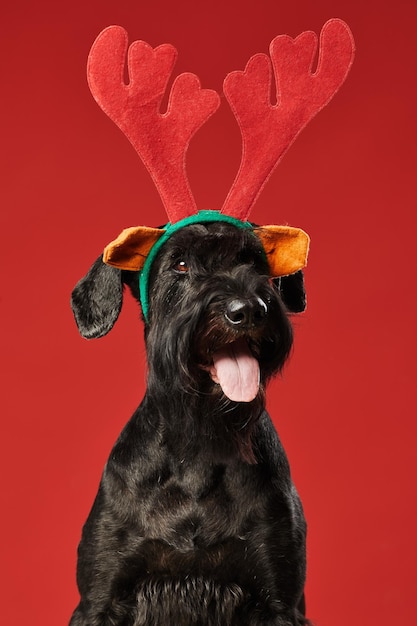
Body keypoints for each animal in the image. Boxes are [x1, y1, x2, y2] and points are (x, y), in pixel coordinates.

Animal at [70, 221, 308, 624]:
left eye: (252, 260)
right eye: (180, 265)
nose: (248, 310)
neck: (199, 444)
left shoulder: (279, 601)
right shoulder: (100, 600)